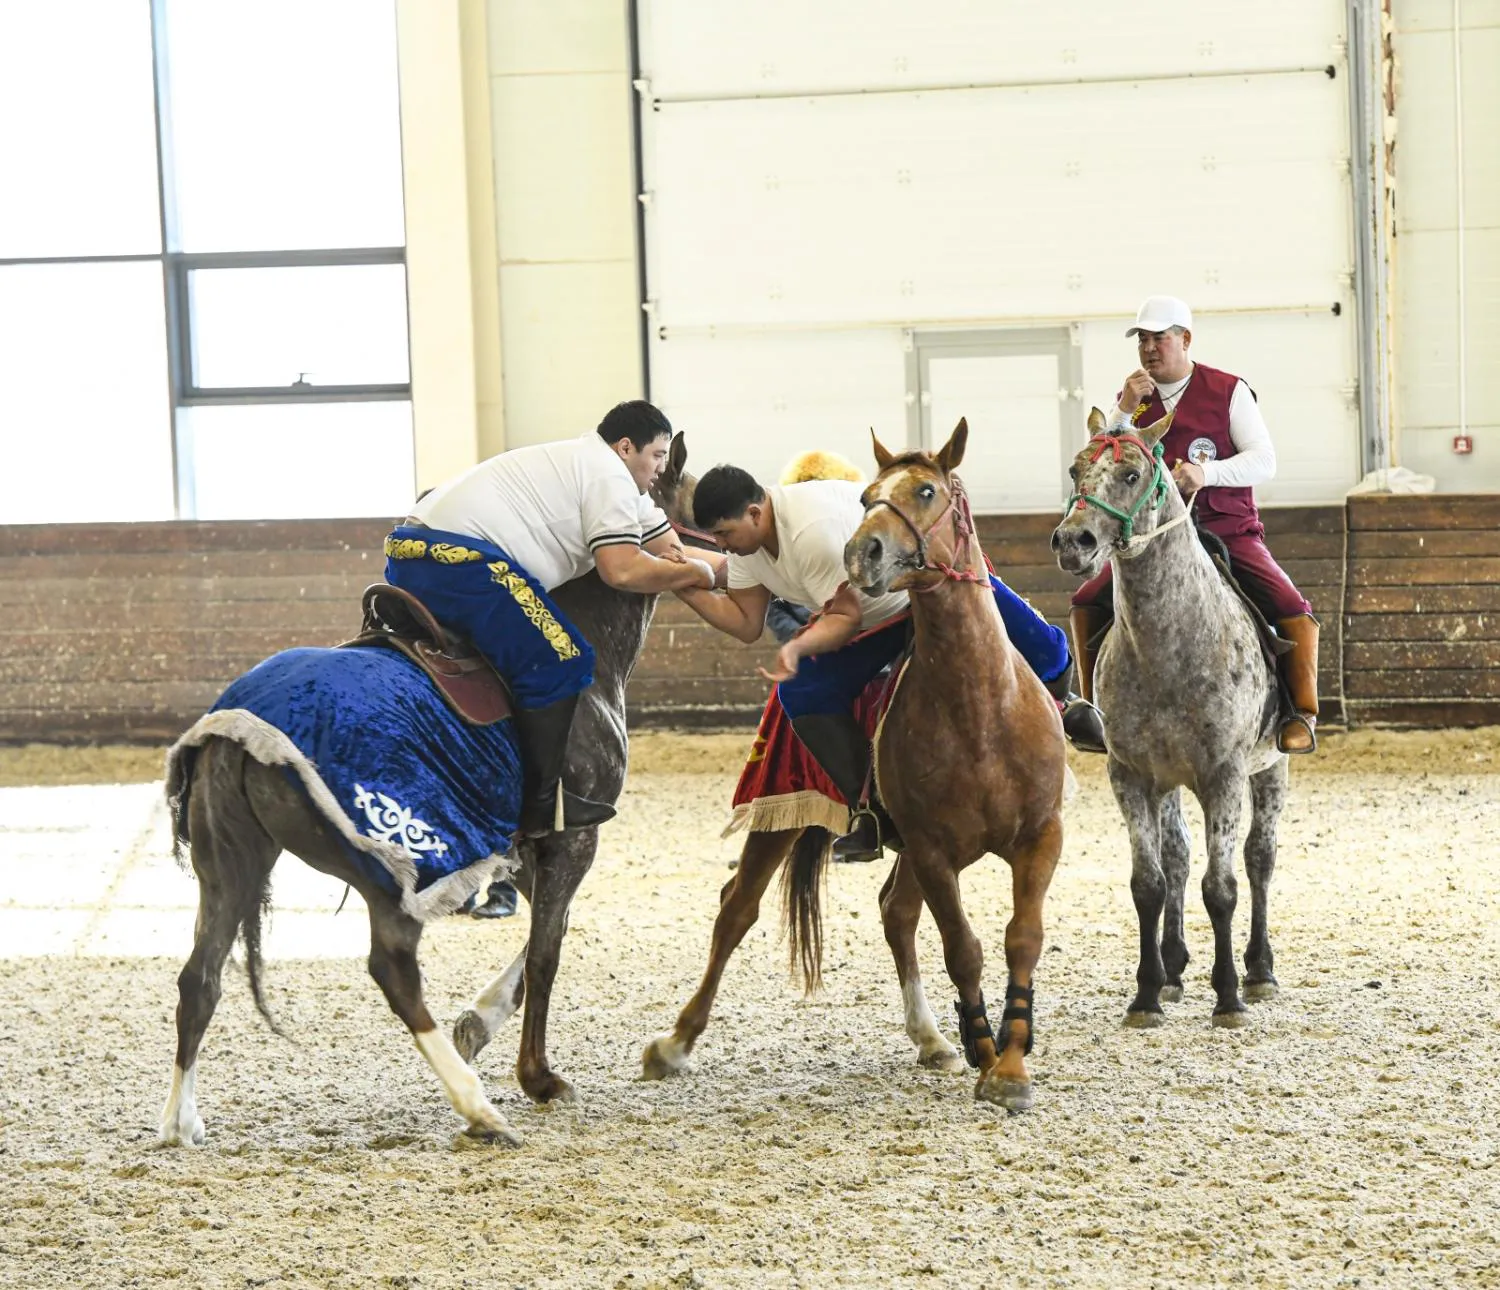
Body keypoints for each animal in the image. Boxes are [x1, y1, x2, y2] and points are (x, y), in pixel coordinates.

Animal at [161, 435, 699, 1146]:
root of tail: (238, 731)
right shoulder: (571, 840)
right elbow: (546, 953)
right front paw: (537, 1077)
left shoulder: (519, 848)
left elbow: (542, 940)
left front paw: (481, 1022)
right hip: (392, 868)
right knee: (393, 972)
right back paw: (479, 1108)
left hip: (231, 864)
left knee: (200, 977)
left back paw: (180, 1119)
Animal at [645, 420, 1068, 1110]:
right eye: (869, 495)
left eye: (926, 490)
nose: (862, 553)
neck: (979, 704)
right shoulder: (931, 848)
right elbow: (964, 949)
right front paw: (985, 1047)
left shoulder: (1040, 837)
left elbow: (1021, 938)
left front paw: (1007, 1061)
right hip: (785, 817)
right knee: (737, 910)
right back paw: (675, 1043)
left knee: (895, 913)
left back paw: (932, 1038)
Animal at [1050, 411, 1284, 1026]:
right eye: (1075, 469)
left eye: (1132, 474)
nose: (1073, 541)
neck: (1170, 645)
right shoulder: (1132, 776)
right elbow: (1149, 884)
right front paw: (1147, 993)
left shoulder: (1223, 776)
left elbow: (1221, 887)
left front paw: (1228, 996)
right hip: (1169, 781)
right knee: (1177, 859)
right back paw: (1175, 966)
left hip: (1272, 768)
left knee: (1259, 859)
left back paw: (1259, 970)